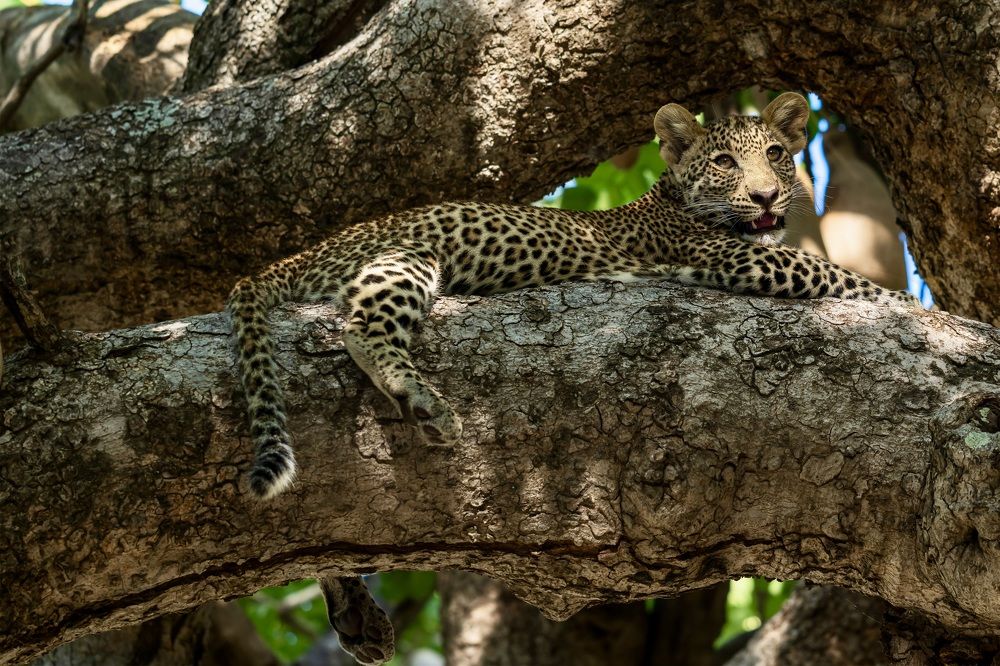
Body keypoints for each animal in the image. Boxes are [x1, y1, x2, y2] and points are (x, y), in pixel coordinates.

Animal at [226, 92, 916, 663]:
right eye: (724, 161)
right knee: (360, 327)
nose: (768, 196)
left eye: (776, 155)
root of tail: (303, 253)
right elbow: (842, 279)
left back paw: (356, 613)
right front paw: (926, 312)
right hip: (405, 257)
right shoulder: (739, 259)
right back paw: (419, 398)